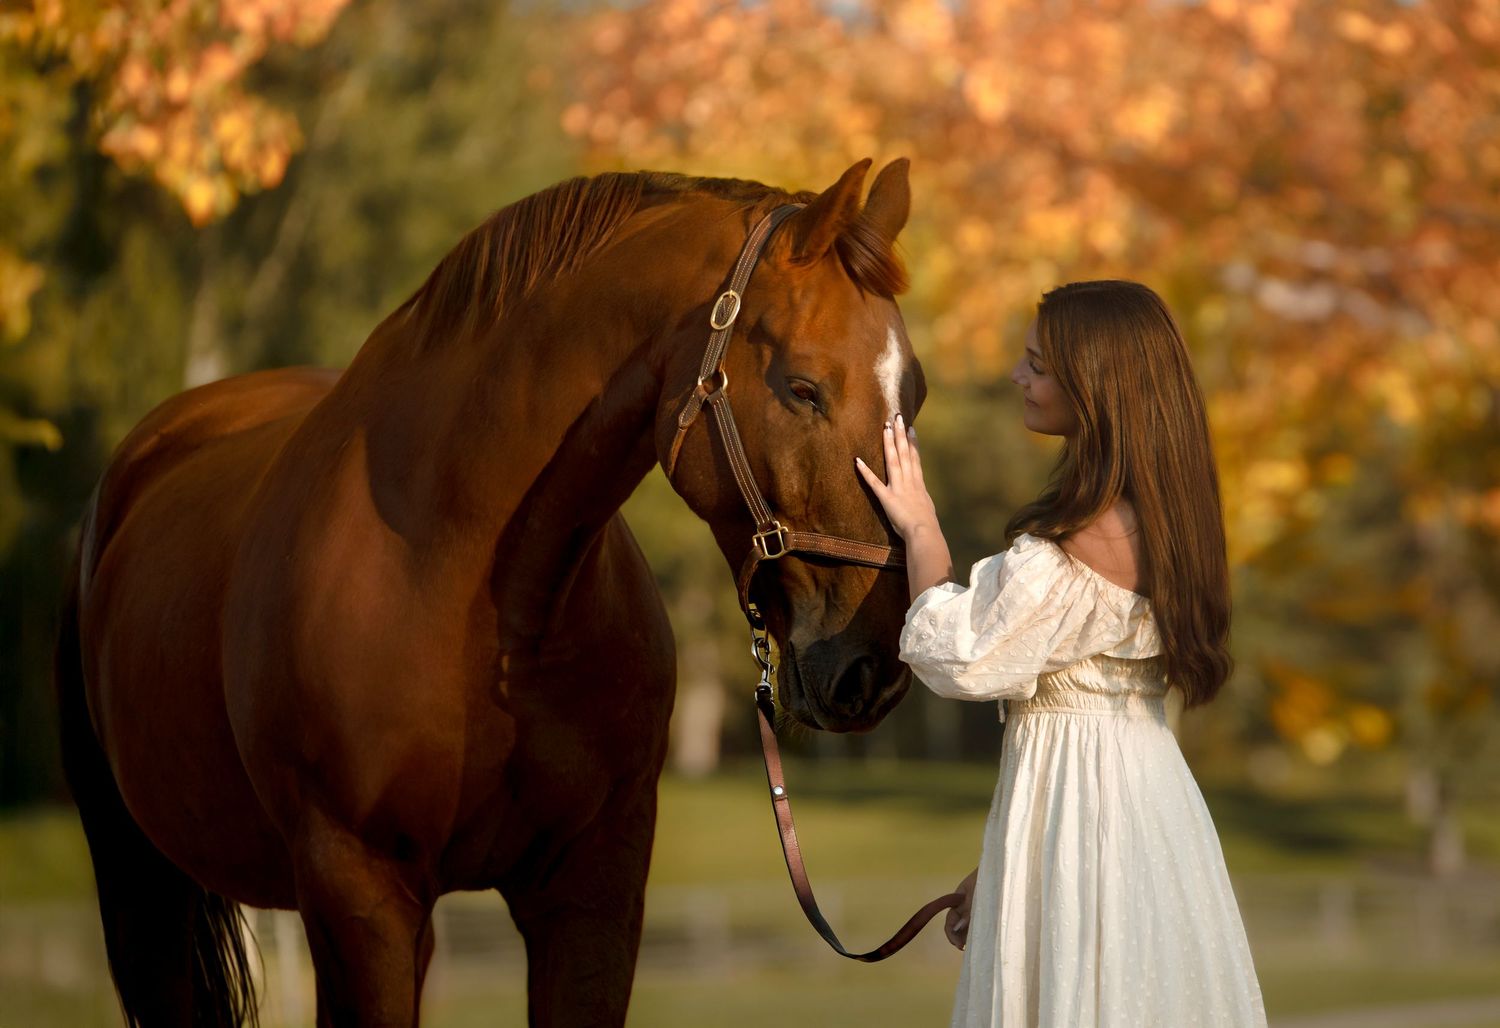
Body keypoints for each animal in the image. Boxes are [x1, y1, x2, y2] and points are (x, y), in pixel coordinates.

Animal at [55, 157, 925, 1026]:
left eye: (911, 395)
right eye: (803, 388)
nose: (873, 668)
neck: (474, 592)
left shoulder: (592, 891)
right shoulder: (359, 892)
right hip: (145, 896)